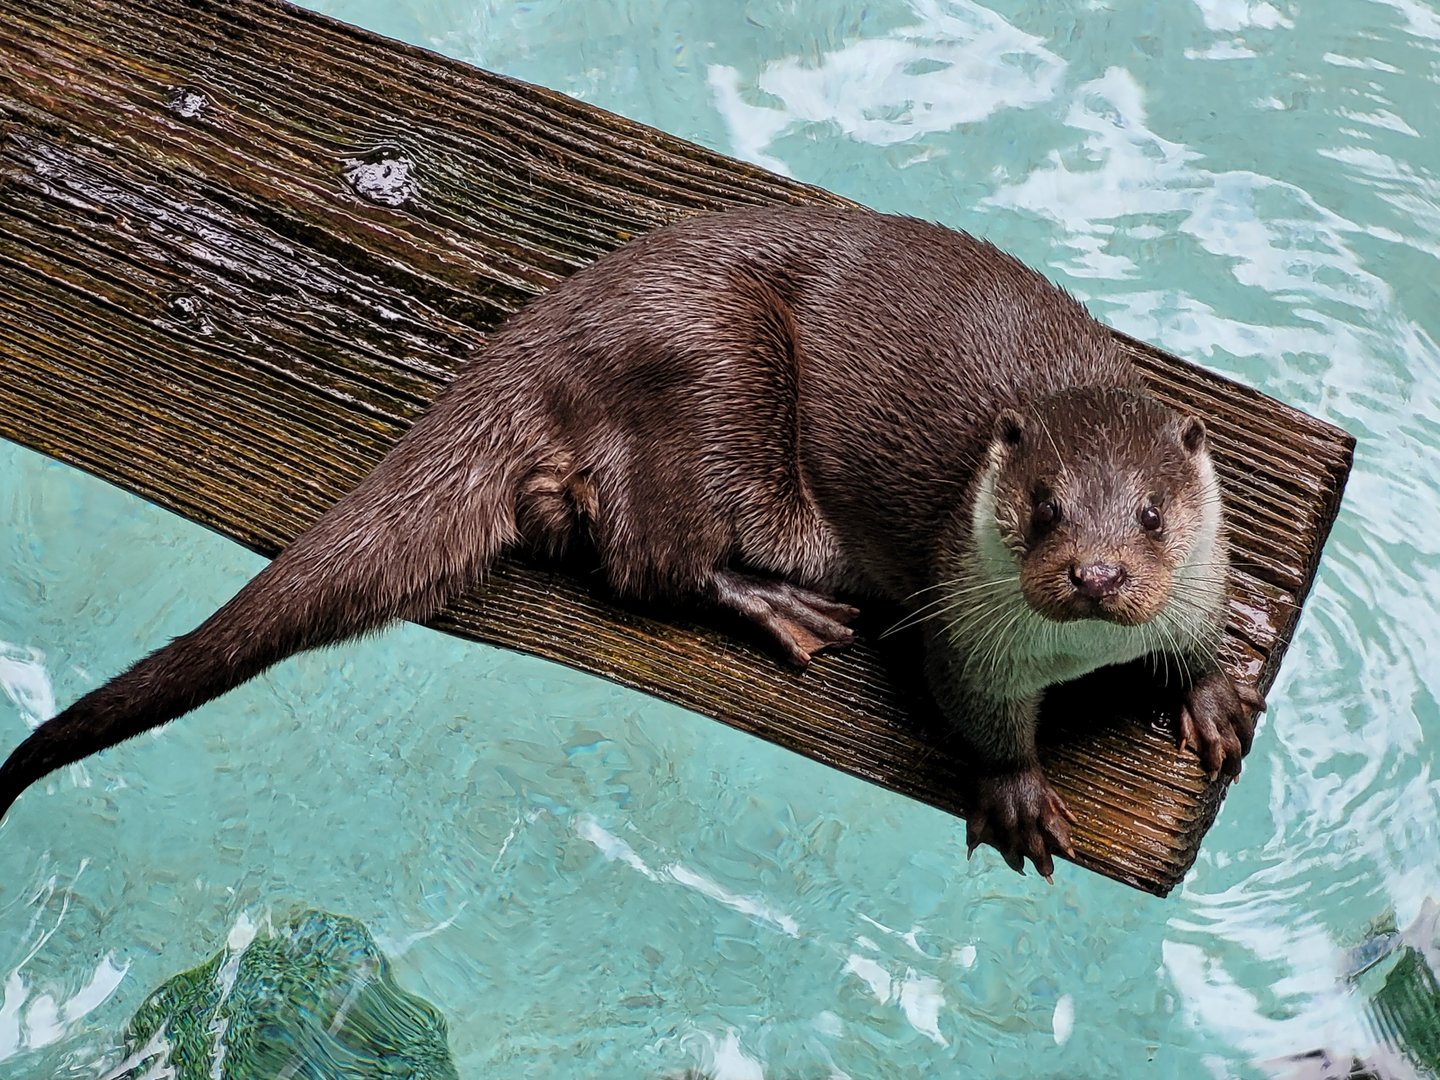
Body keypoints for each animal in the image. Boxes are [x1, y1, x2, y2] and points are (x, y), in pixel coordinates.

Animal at [0, 205, 1262, 879]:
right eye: (1043, 505)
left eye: (1151, 515)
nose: (1095, 572)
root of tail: (553, 324)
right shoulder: (963, 618)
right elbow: (975, 707)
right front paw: (1015, 790)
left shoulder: (1205, 575)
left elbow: (1203, 633)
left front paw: (1211, 696)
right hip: (720, 370)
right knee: (648, 556)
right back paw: (779, 606)